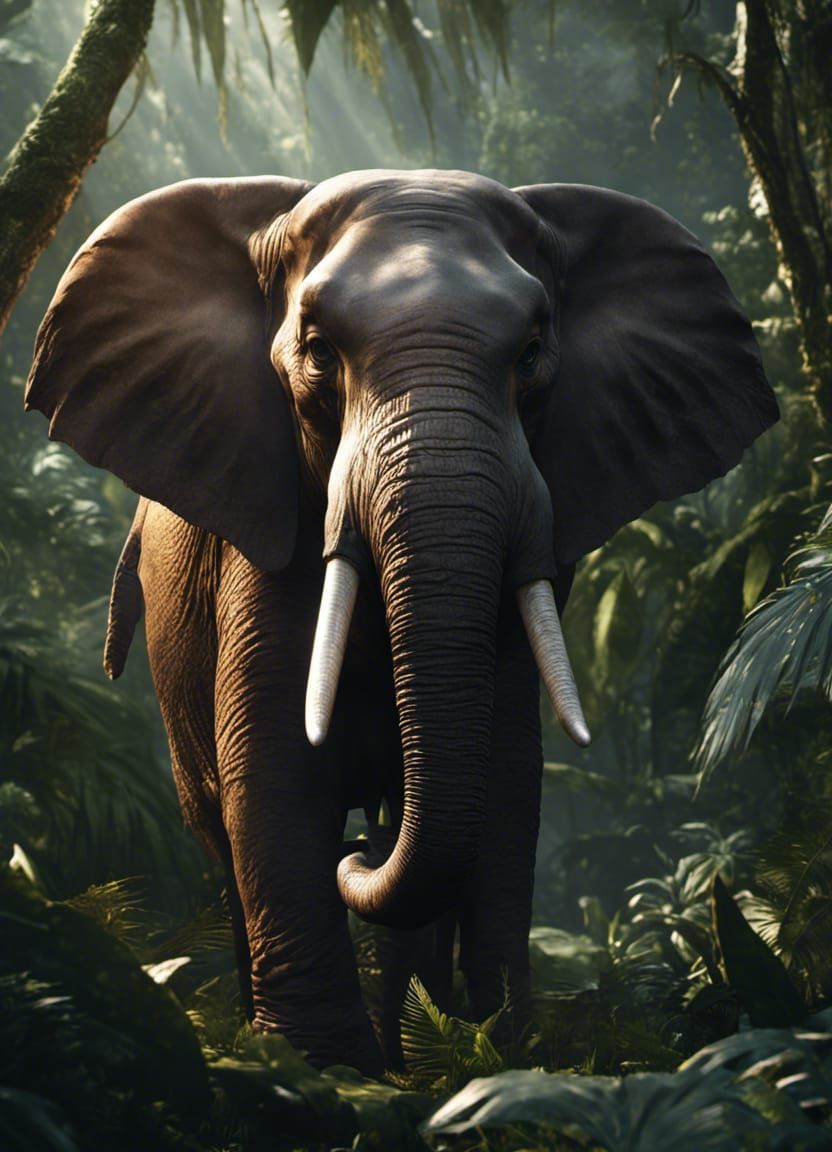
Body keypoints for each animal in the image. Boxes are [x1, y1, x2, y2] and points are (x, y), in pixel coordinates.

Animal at [25, 169, 778, 1073]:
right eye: (318, 350)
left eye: (531, 354)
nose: (364, 851)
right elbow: (274, 772)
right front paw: (322, 1065)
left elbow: (506, 780)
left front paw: (500, 1056)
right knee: (217, 829)